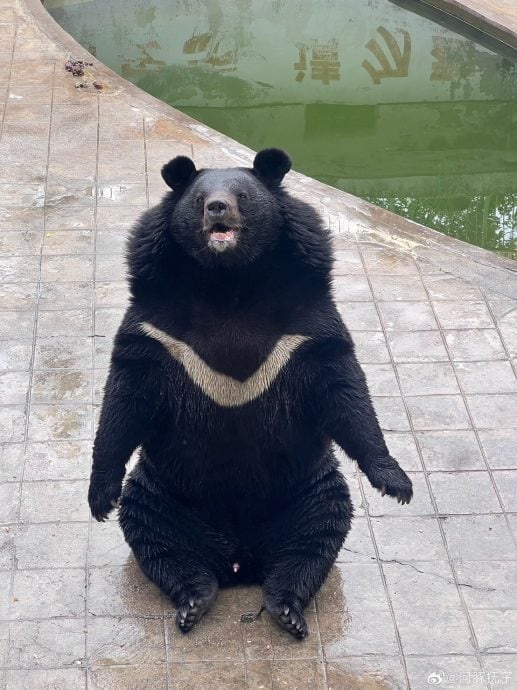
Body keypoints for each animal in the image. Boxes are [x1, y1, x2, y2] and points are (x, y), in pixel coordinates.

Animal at [88, 148, 412, 636]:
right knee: (156, 535)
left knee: (315, 536)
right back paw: (193, 601)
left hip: (307, 488)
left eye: (241, 195)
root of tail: (239, 562)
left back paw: (287, 609)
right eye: (200, 198)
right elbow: (126, 397)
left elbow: (344, 388)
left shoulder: (306, 326)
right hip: (165, 490)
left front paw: (397, 484)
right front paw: (99, 499)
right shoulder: (156, 329)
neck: (229, 283)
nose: (217, 208)